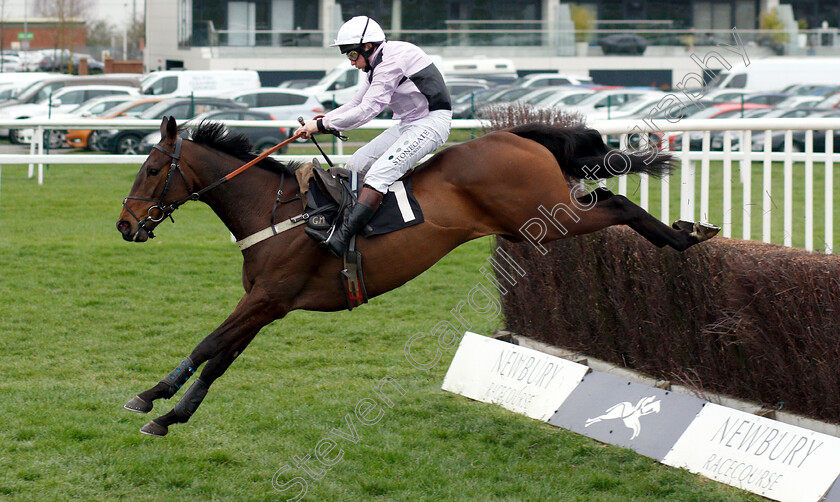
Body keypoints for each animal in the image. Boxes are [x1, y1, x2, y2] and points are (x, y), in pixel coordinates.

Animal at [115, 116, 720, 436]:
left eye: (151, 168)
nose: (124, 225)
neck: (274, 212)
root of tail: (520, 136)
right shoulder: (270, 304)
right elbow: (221, 358)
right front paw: (172, 416)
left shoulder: (266, 298)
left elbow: (208, 343)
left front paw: (149, 396)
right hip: (538, 219)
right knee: (612, 201)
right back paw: (688, 234)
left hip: (546, 217)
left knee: (617, 203)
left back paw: (686, 237)